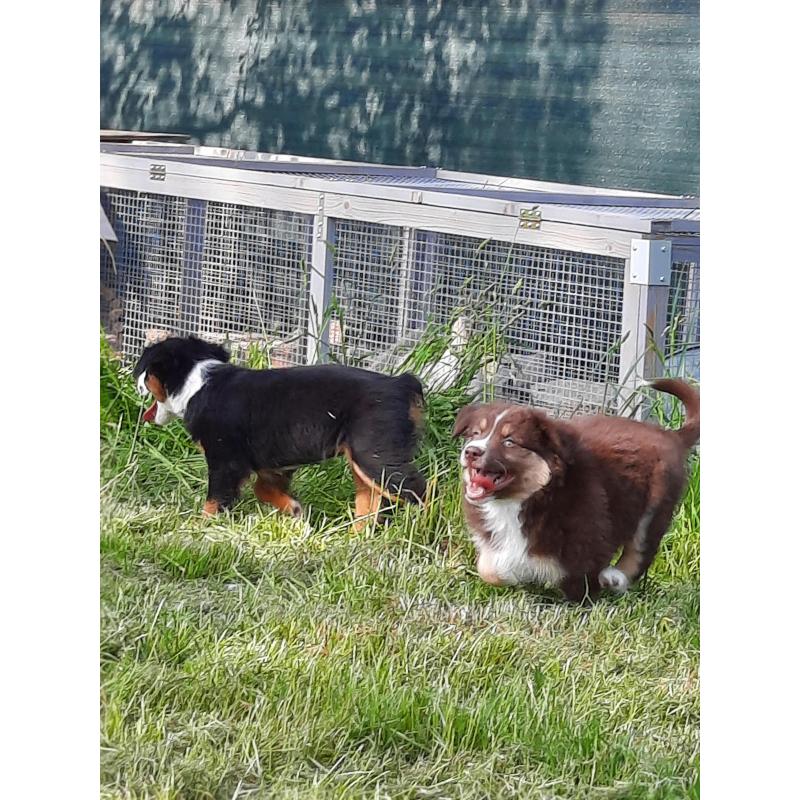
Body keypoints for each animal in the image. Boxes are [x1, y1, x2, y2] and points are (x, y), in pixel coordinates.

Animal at [133, 336, 424, 528]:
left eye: (144, 371)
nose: (136, 384)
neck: (196, 384)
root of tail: (401, 383)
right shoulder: (274, 464)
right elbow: (262, 489)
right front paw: (294, 510)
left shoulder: (225, 460)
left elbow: (215, 499)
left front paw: (201, 527)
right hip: (365, 460)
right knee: (369, 501)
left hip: (376, 455)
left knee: (420, 492)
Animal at [454, 380, 696, 600]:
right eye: (475, 433)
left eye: (510, 442)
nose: (471, 451)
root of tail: (671, 435)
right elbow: (488, 568)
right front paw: (517, 575)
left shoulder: (589, 531)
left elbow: (580, 578)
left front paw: (579, 599)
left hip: (656, 506)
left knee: (640, 550)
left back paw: (615, 578)